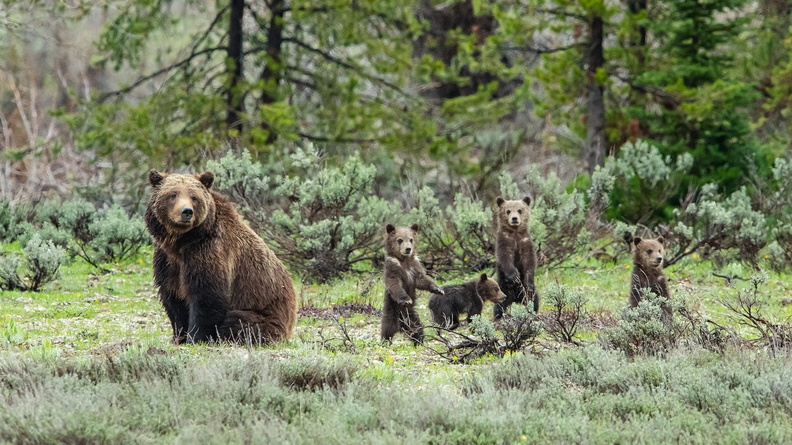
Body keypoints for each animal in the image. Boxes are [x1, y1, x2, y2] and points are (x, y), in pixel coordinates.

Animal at [145, 169, 297, 344]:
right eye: (173, 194)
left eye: (194, 196)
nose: (186, 211)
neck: (182, 242)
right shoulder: (167, 261)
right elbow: (173, 298)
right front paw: (179, 336)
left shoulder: (209, 251)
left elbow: (207, 296)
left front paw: (195, 337)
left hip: (265, 314)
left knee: (238, 321)